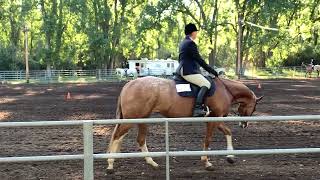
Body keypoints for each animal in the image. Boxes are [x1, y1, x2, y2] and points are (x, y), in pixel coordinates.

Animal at [107, 76, 262, 172]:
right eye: (254, 108)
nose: (244, 124)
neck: (224, 89)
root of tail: (128, 84)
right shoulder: (214, 119)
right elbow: (208, 140)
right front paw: (207, 162)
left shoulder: (214, 119)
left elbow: (227, 132)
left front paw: (230, 157)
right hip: (133, 119)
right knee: (118, 136)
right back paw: (110, 164)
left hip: (143, 119)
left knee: (138, 139)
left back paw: (152, 163)